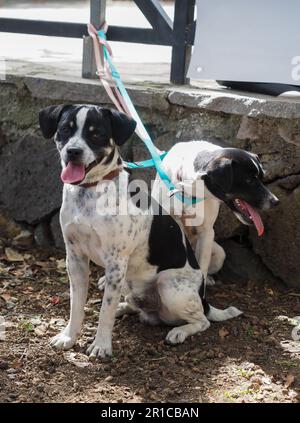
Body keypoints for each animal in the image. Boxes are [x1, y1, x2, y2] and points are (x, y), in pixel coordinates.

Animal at [39, 104, 241, 360]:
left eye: (96, 134)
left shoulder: (116, 262)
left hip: (168, 284)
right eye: (65, 129)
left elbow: (105, 311)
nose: (73, 151)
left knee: (202, 321)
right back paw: (126, 307)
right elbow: (76, 304)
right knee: (137, 306)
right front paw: (68, 336)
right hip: (132, 283)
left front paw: (101, 345)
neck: (91, 191)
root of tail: (203, 299)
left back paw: (179, 331)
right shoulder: (75, 258)